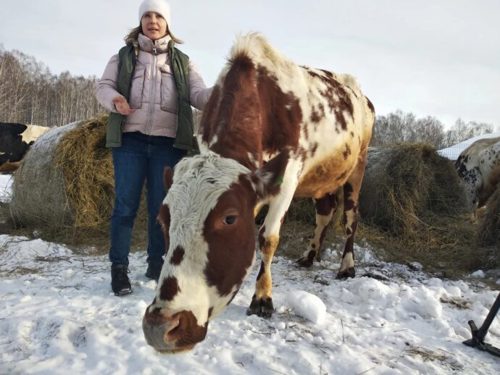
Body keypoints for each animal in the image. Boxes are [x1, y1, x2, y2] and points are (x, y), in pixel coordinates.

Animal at [141, 33, 376, 354]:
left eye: (229, 218)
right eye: (162, 219)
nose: (161, 326)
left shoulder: (288, 178)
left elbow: (267, 238)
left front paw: (262, 298)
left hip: (357, 167)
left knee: (350, 218)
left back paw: (346, 266)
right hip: (322, 178)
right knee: (324, 213)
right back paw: (309, 255)